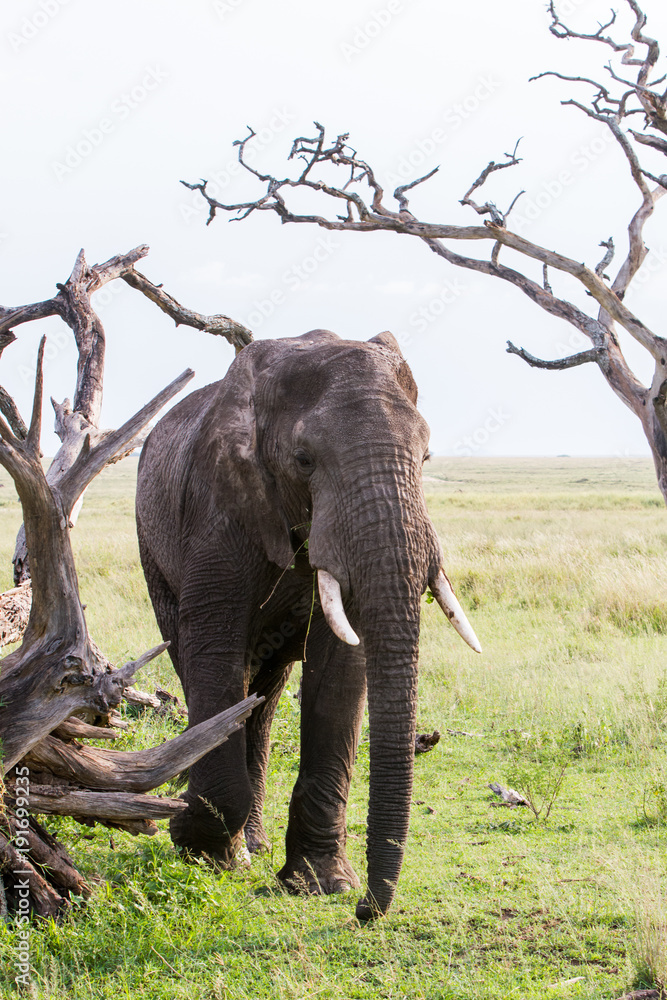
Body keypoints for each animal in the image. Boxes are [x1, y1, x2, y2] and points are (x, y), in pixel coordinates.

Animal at [135, 329, 481, 919]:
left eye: (426, 455)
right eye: (303, 459)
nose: (366, 912)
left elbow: (342, 664)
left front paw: (320, 884)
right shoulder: (216, 503)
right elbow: (211, 647)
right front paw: (198, 845)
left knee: (266, 690)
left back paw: (254, 844)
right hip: (150, 545)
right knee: (212, 666)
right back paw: (237, 846)